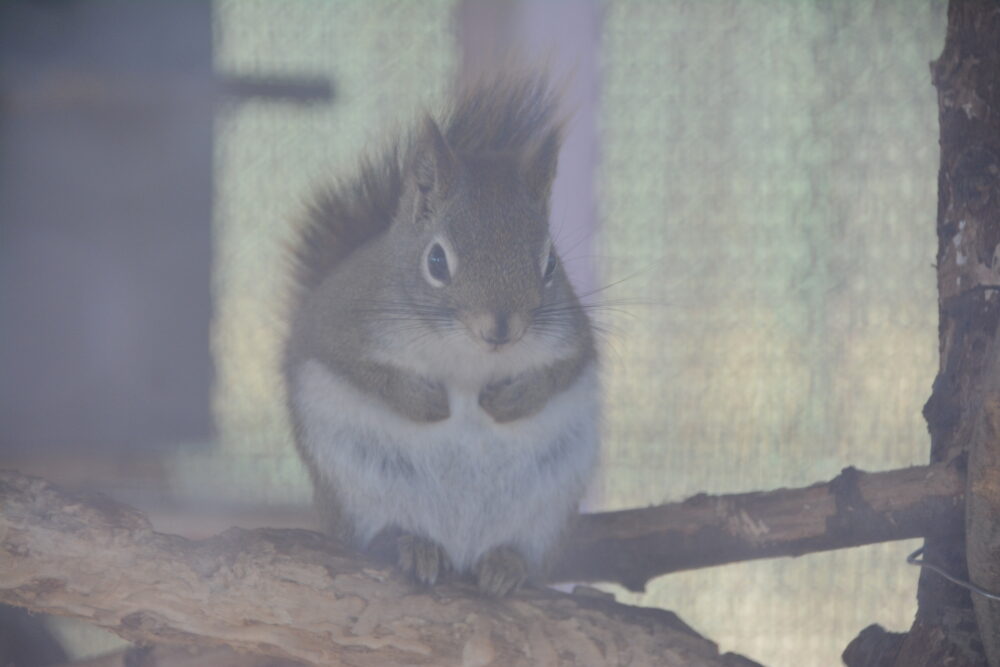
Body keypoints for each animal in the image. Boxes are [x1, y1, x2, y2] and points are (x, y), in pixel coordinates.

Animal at [282, 74, 596, 600]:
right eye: (435, 260)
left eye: (551, 263)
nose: (501, 330)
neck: (467, 356)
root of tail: (461, 548)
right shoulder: (337, 324)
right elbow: (360, 368)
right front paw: (426, 402)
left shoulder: (573, 334)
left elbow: (561, 372)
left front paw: (511, 400)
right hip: (356, 489)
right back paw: (409, 544)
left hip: (547, 510)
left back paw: (506, 562)